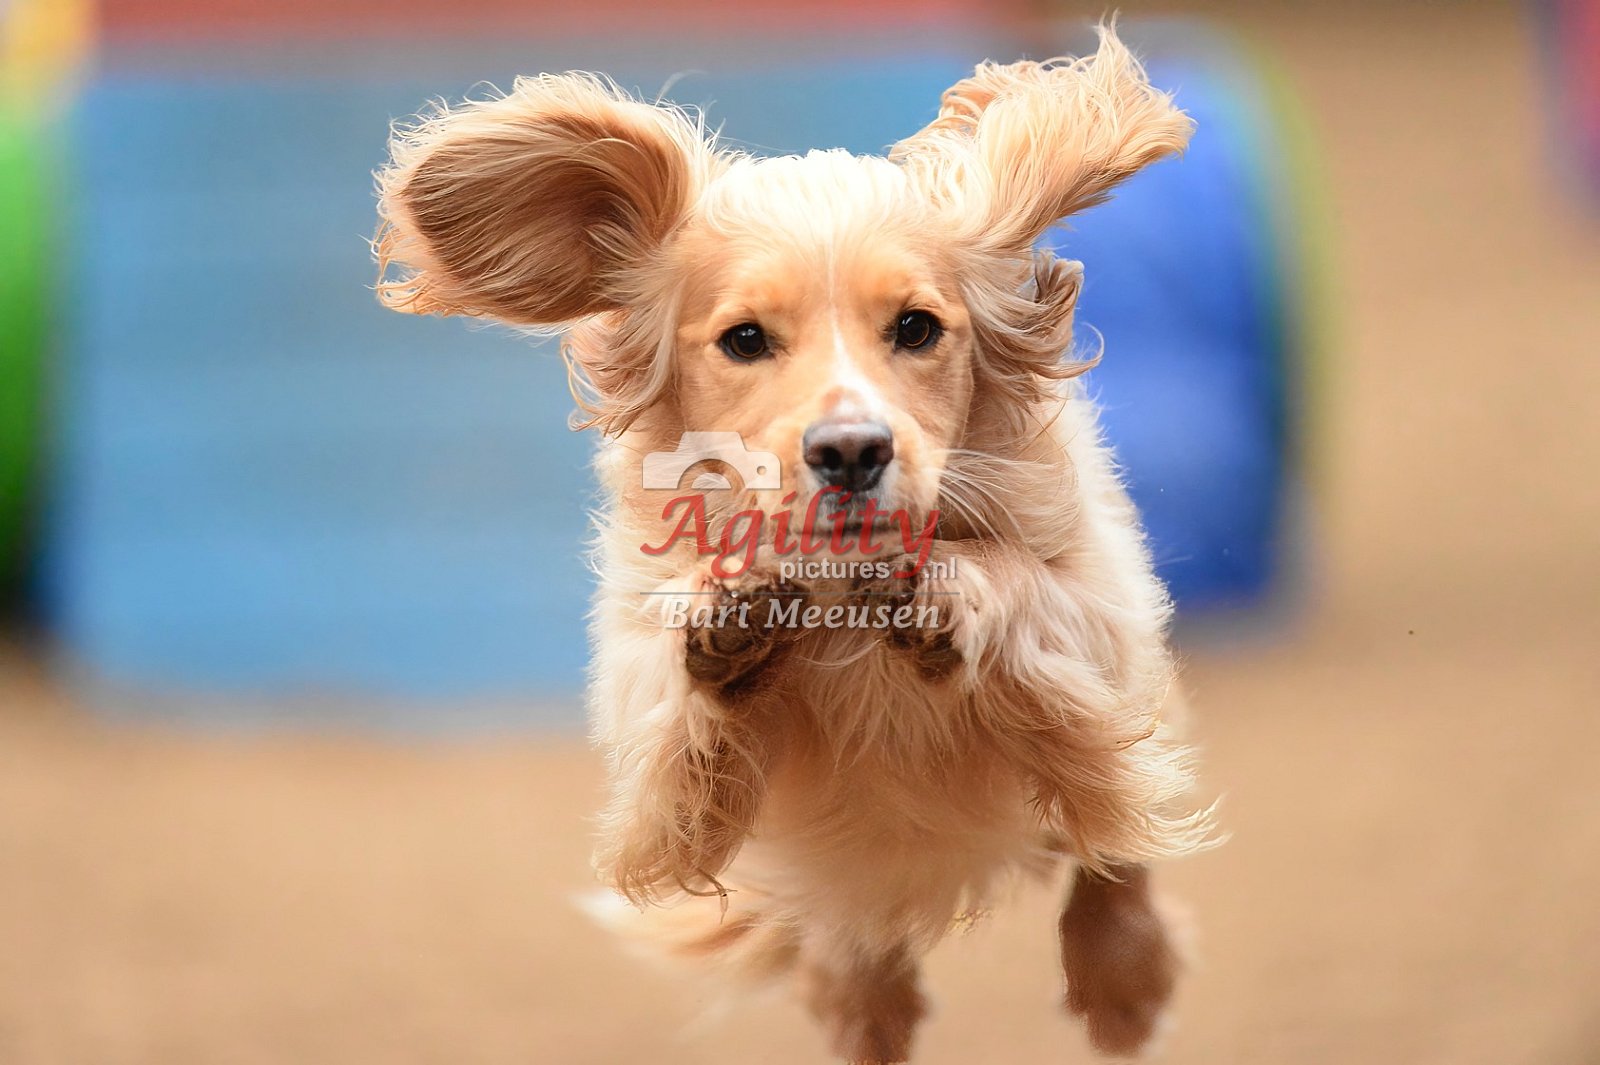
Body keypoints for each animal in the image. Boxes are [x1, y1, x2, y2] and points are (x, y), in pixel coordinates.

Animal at [374, 25, 1217, 1062]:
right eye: (744, 339)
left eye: (916, 327)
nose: (851, 450)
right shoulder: (650, 718)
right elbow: (681, 727)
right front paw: (726, 621)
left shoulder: (1097, 611)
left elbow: (1036, 614)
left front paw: (944, 591)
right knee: (854, 941)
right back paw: (866, 998)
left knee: (1110, 843)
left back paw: (1121, 981)